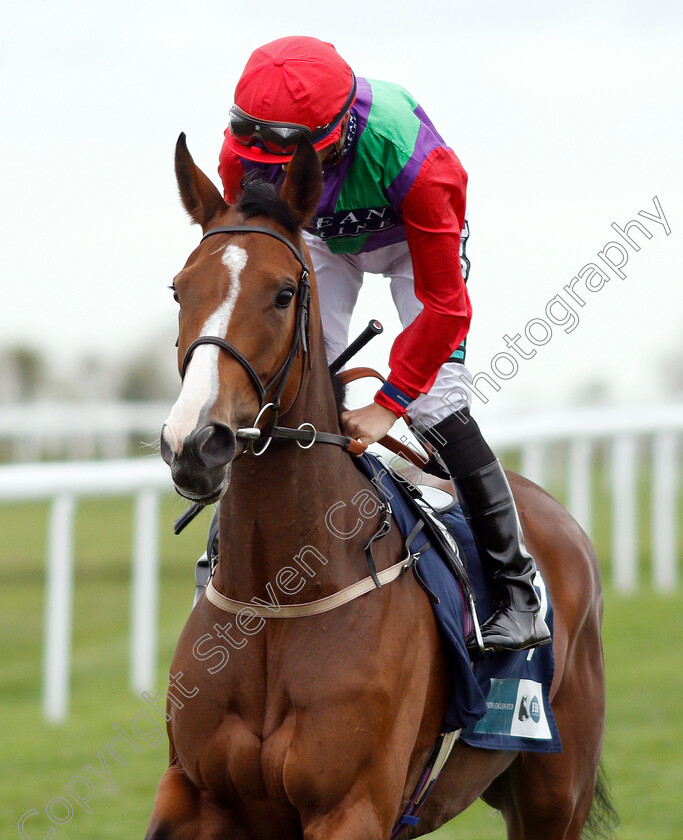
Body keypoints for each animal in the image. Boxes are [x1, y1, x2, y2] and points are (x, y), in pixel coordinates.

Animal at [146, 135, 616, 836]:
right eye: (180, 291)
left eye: (282, 294)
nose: (195, 442)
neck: (277, 596)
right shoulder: (192, 795)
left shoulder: (351, 805)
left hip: (555, 790)